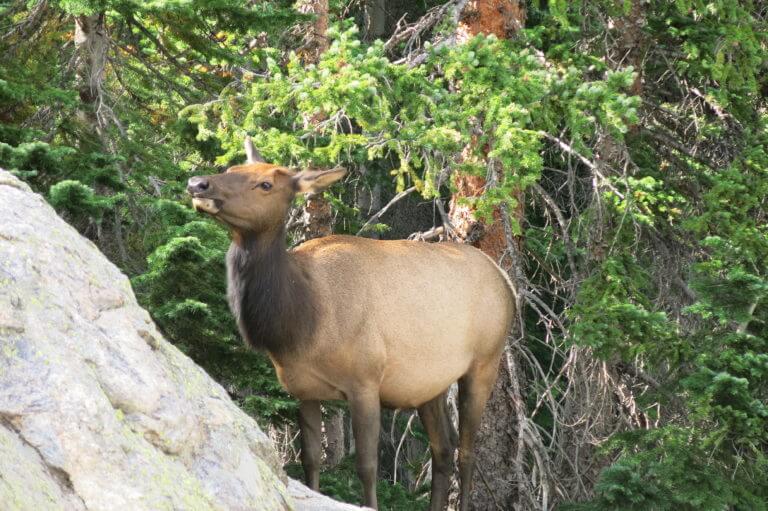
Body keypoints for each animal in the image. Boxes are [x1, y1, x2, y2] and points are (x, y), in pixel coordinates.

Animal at [186, 137, 512, 511]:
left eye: (266, 184)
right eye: (231, 168)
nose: (198, 183)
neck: (300, 323)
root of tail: (505, 280)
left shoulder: (365, 382)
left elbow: (366, 467)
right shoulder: (303, 389)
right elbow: (311, 460)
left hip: (484, 362)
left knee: (466, 452)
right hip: (430, 382)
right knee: (442, 450)